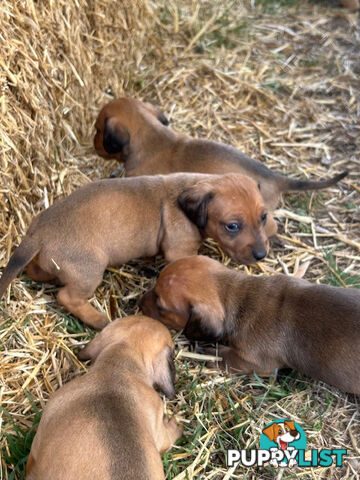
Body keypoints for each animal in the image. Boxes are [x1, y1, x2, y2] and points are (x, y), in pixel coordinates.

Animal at [0, 172, 274, 330]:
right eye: (232, 226)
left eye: (263, 217)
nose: (262, 255)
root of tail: (40, 231)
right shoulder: (180, 250)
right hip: (89, 270)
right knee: (67, 296)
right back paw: (98, 320)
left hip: (49, 262)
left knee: (36, 271)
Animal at [142, 256, 360, 396]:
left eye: (161, 306)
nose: (138, 301)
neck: (241, 295)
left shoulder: (256, 363)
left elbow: (228, 358)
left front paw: (212, 353)